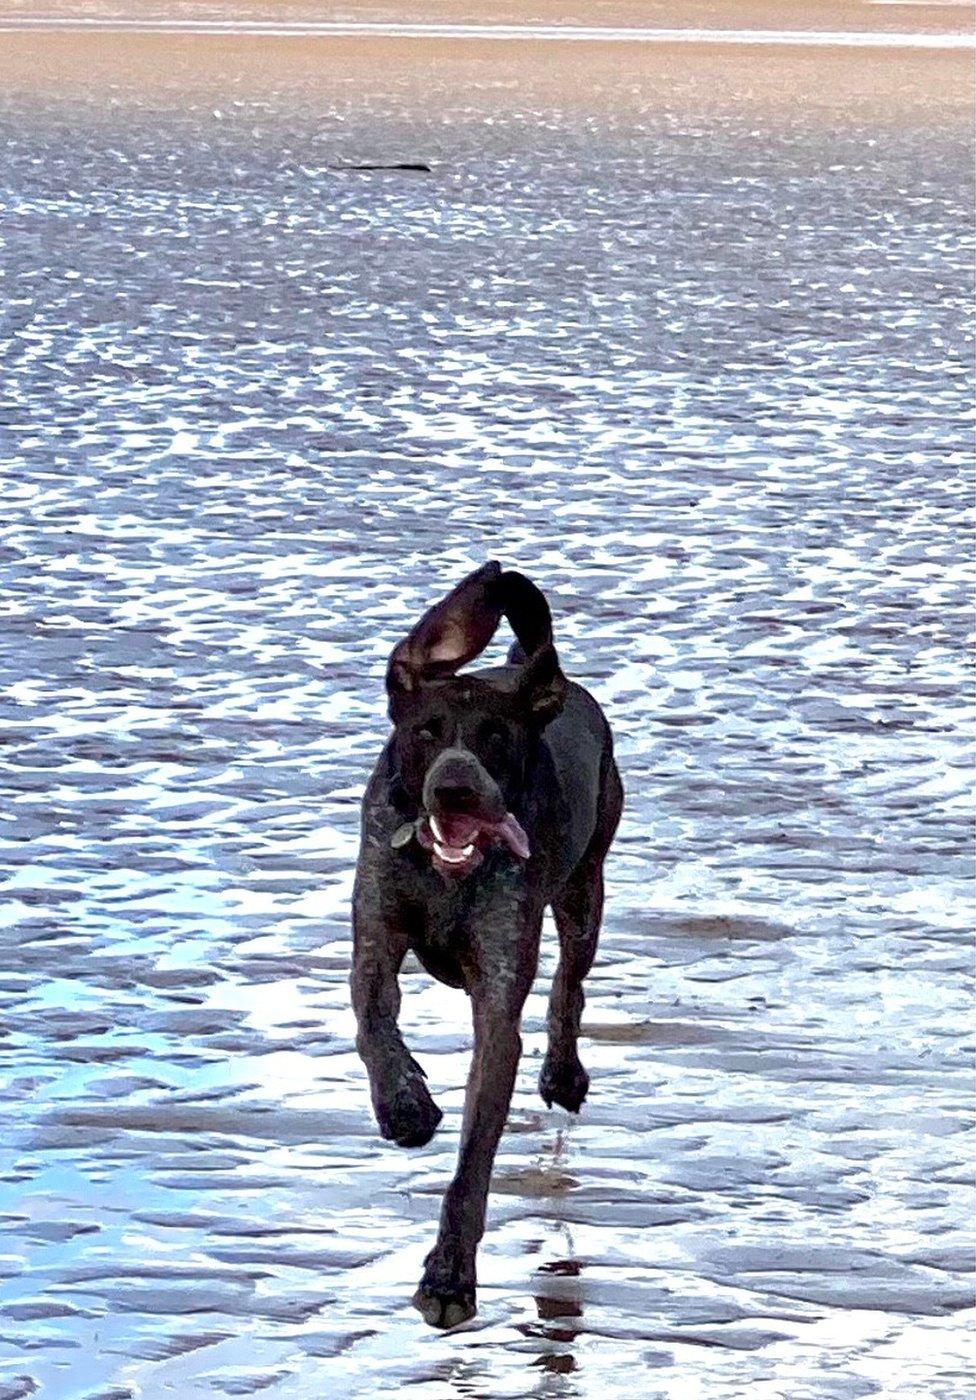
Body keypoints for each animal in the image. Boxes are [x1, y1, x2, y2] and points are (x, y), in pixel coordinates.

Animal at [354, 562, 621, 1327]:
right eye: (427, 731)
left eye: (496, 738)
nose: (455, 792)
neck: (449, 875)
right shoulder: (374, 937)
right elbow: (373, 1026)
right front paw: (406, 1106)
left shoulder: (498, 1006)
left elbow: (474, 1160)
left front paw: (449, 1277)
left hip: (585, 888)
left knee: (570, 985)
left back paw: (563, 1073)